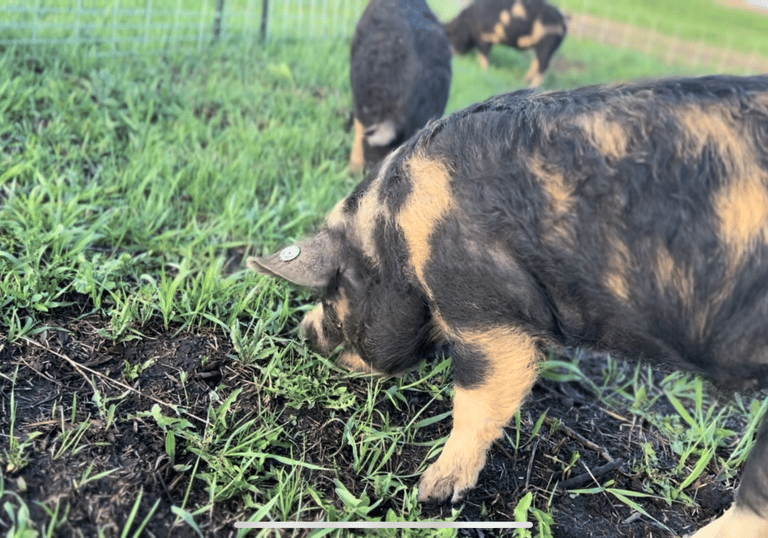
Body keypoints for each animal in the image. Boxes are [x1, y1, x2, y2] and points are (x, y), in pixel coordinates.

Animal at [250, 75, 768, 537]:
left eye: (333, 296)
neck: (395, 231)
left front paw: (432, 493)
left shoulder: (481, 309)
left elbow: (481, 393)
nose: (303, 331)